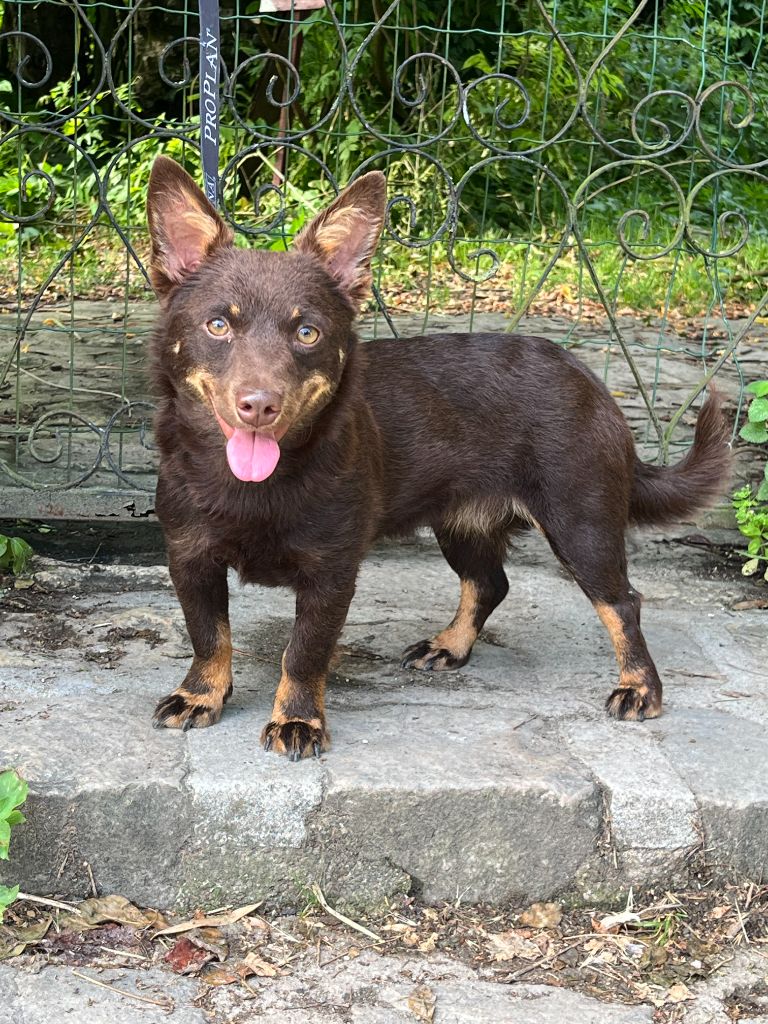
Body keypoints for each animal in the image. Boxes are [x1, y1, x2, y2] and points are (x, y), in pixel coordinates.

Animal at [145, 153, 733, 761]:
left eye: (307, 332)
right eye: (218, 325)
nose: (260, 405)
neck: (253, 486)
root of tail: (592, 382)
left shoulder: (331, 574)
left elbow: (303, 653)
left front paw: (298, 718)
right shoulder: (190, 558)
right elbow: (210, 636)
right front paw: (202, 694)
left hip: (582, 527)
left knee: (623, 603)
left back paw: (639, 687)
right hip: (463, 526)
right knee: (490, 584)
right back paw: (451, 645)